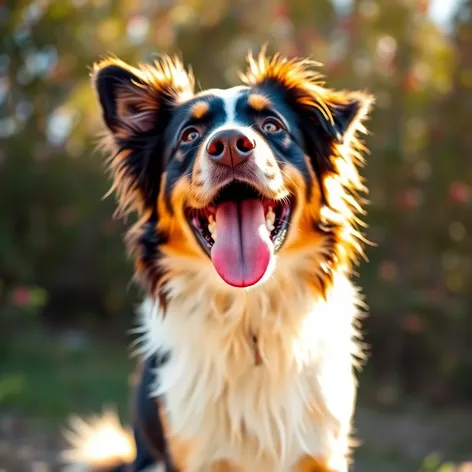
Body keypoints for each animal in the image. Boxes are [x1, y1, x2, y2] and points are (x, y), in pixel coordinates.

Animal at [61, 48, 372, 472]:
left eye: (272, 125)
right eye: (190, 136)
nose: (228, 144)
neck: (248, 315)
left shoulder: (322, 452)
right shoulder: (193, 454)